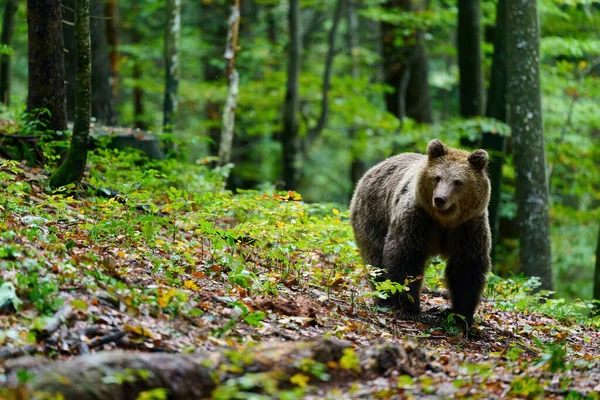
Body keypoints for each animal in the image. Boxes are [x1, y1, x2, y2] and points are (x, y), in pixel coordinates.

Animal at [350, 139, 490, 326]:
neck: (445, 220)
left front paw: (461, 316)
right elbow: (405, 256)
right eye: (437, 177)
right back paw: (384, 299)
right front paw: (411, 308)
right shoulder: (419, 219)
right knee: (376, 261)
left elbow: (466, 268)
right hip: (374, 215)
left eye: (458, 181)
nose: (439, 199)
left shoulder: (467, 228)